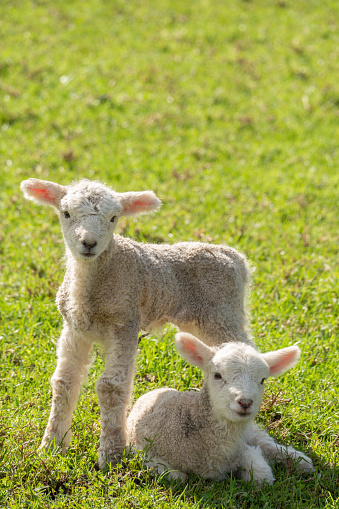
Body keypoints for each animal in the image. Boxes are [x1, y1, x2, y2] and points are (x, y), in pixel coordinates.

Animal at [20, 178, 252, 468]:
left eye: (113, 218)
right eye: (66, 213)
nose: (89, 243)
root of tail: (236, 258)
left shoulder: (124, 322)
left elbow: (110, 387)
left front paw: (110, 455)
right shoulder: (75, 328)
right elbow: (63, 383)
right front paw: (50, 448)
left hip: (223, 314)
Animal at [127, 332, 316, 482]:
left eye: (263, 380)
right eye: (217, 375)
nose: (245, 402)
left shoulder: (240, 447)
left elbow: (261, 475)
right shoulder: (141, 444)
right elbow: (172, 475)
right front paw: (174, 473)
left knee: (265, 442)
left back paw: (300, 461)